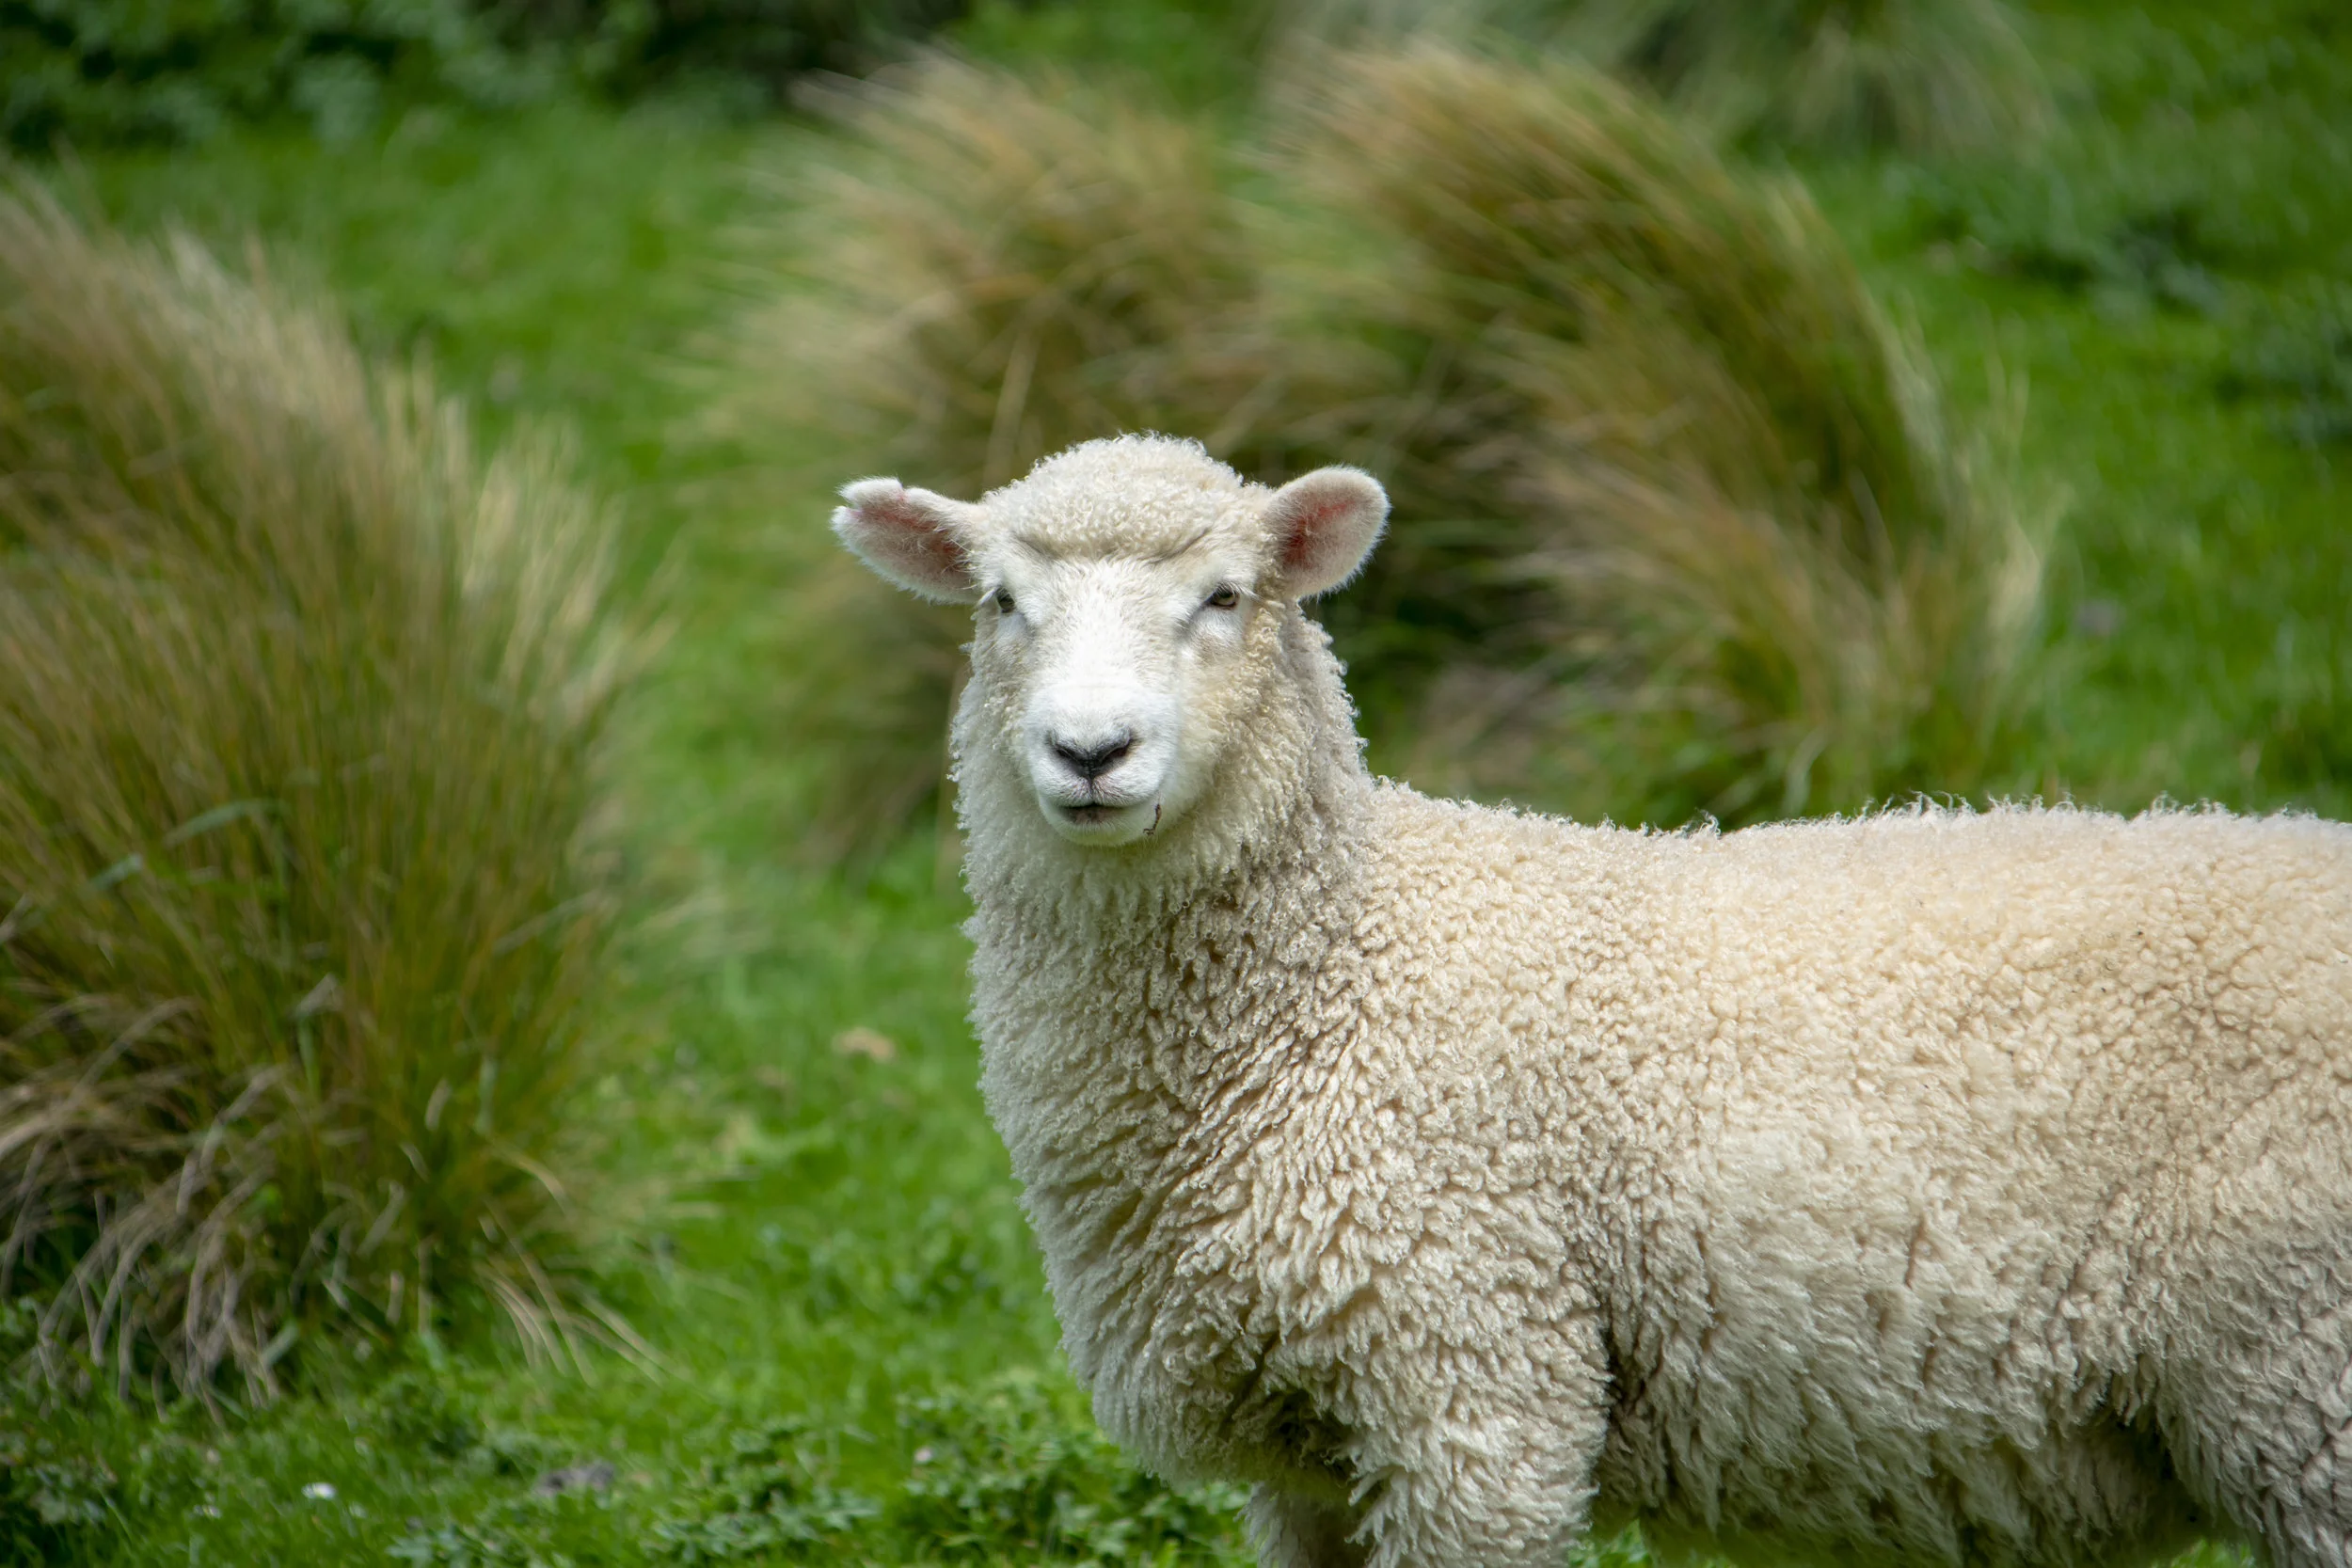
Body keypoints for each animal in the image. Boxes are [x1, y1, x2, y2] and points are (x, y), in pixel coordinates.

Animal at [831, 433, 2352, 1568]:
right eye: (1001, 604)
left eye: (1223, 598)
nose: (1091, 752)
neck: (1332, 975)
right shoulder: (1313, 1456)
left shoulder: (1475, 1379)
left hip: (2303, 1378)